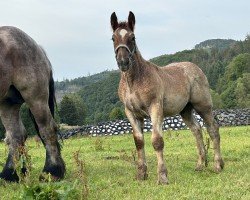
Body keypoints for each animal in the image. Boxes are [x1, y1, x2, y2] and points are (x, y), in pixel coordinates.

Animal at [0, 26, 65, 181]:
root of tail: (38, 48)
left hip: (35, 98)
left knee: (47, 129)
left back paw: (51, 171)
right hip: (7, 102)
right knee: (16, 135)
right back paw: (9, 174)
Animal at [110, 11, 224, 184]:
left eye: (133, 37)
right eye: (113, 38)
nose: (123, 62)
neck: (134, 81)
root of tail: (195, 68)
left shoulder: (155, 108)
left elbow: (157, 141)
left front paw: (162, 176)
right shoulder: (131, 113)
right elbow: (139, 142)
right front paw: (141, 174)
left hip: (203, 106)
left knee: (213, 129)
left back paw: (218, 165)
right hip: (185, 110)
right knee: (196, 130)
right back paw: (200, 165)